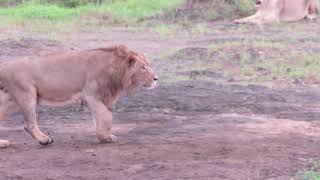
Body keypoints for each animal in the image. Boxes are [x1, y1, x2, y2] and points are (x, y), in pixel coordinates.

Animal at [0, 45, 159, 148]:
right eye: (143, 68)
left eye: (148, 65)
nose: (156, 78)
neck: (115, 70)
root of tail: (4, 66)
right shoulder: (90, 95)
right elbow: (106, 116)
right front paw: (106, 137)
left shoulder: (98, 97)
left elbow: (99, 117)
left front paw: (103, 137)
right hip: (27, 94)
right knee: (29, 124)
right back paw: (44, 140)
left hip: (10, 101)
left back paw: (3, 144)